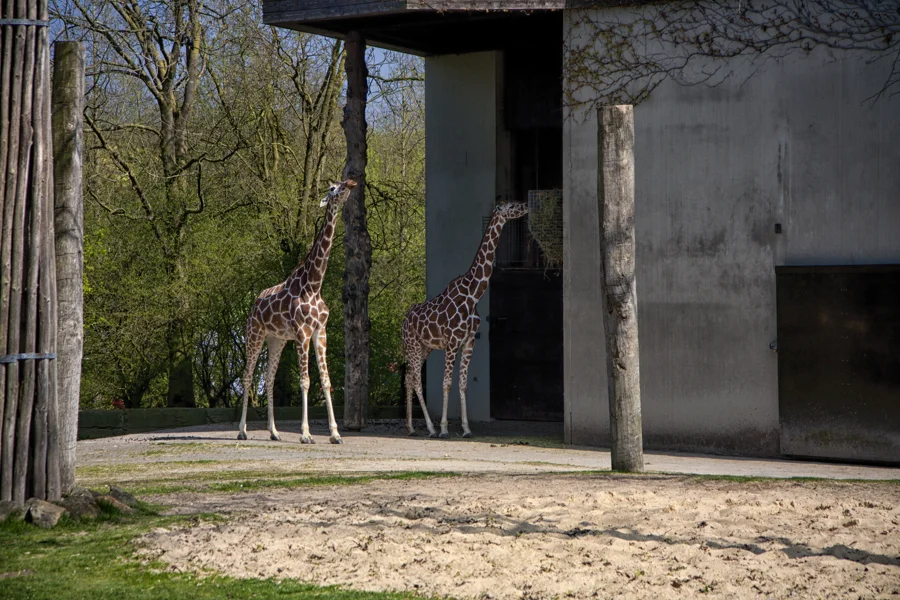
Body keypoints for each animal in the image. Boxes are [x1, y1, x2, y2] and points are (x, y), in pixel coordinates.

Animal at [237, 179, 356, 444]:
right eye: (332, 188)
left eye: (340, 183)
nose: (350, 183)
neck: (314, 284)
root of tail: (254, 304)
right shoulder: (303, 333)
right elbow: (305, 381)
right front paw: (305, 434)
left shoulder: (320, 332)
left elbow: (325, 381)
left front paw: (335, 434)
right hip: (254, 335)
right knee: (248, 376)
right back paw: (242, 431)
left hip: (277, 340)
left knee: (269, 378)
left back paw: (274, 432)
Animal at [402, 202, 529, 438]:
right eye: (511, 205)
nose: (525, 205)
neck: (473, 294)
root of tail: (403, 321)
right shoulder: (452, 342)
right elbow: (447, 383)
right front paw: (444, 429)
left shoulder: (469, 342)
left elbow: (462, 384)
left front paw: (467, 429)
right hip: (412, 344)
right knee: (416, 380)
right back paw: (430, 428)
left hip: (425, 347)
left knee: (408, 377)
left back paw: (411, 427)